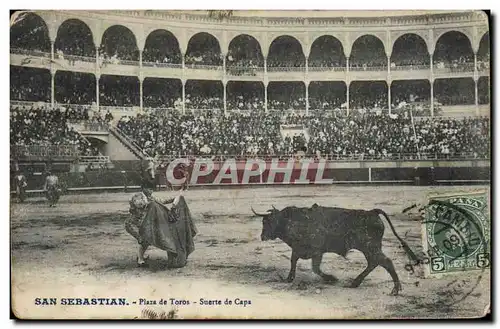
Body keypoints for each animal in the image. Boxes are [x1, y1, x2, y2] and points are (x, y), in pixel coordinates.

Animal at [252, 202, 420, 294]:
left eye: (266, 222)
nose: (262, 236)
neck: (293, 221)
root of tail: (372, 212)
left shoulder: (316, 251)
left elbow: (315, 268)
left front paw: (331, 278)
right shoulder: (298, 249)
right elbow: (293, 261)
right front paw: (289, 278)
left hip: (370, 247)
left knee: (385, 262)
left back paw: (395, 290)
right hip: (369, 249)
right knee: (374, 263)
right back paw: (355, 283)